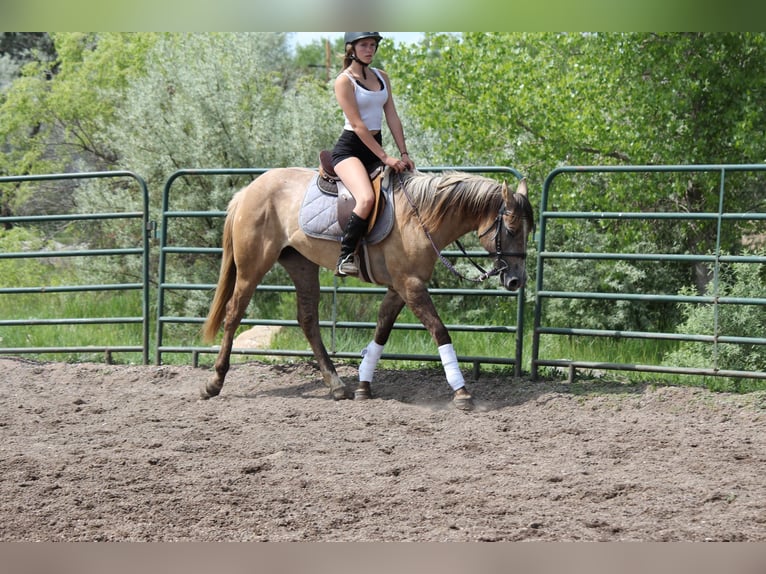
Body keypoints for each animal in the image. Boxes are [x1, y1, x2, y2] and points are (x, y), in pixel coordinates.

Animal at [201, 167, 535, 410]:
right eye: (512, 229)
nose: (517, 280)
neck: (419, 217)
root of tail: (248, 191)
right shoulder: (410, 285)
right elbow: (439, 331)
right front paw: (462, 392)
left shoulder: (400, 288)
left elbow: (382, 330)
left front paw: (363, 386)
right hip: (251, 268)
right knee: (233, 313)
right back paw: (214, 383)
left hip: (302, 266)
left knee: (308, 321)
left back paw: (337, 386)